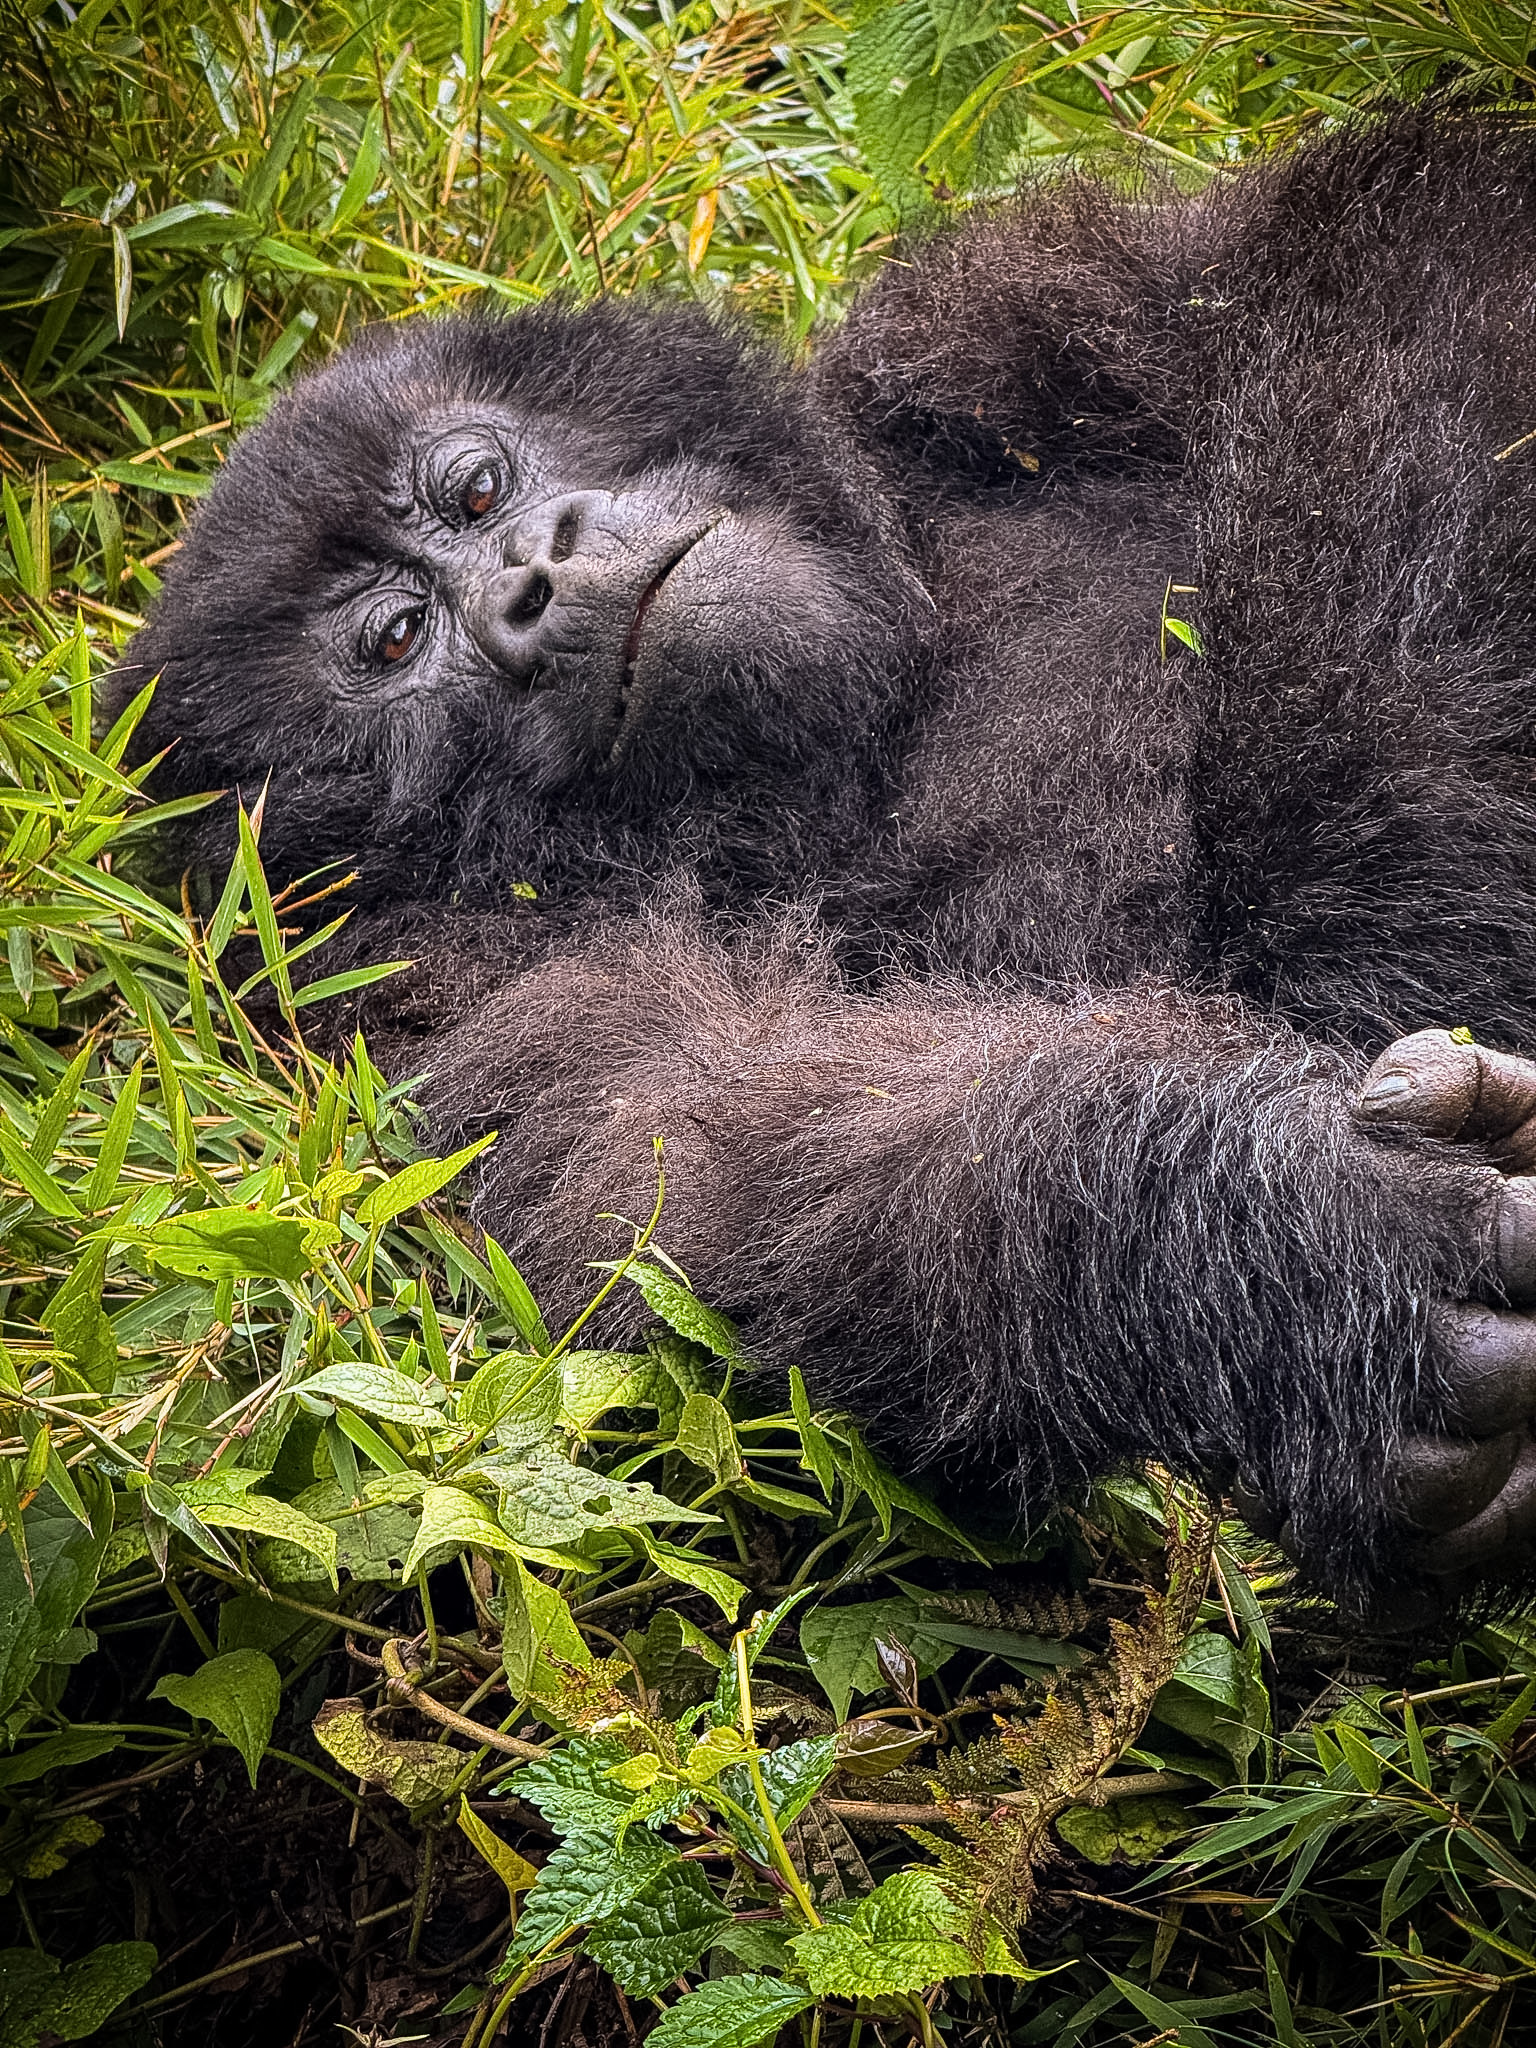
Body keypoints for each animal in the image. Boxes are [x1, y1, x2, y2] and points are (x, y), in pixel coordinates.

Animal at [116, 106, 1536, 1619]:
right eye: (393, 639)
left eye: (480, 484)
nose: (532, 584)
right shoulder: (402, 994)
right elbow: (700, 1161)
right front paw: (1273, 1240)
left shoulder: (990, 325)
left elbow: (1410, 270)